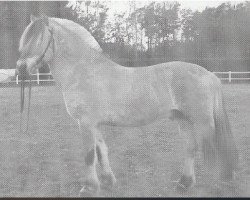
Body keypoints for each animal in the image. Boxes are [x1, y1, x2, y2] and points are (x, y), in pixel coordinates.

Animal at [15, 15, 238, 197]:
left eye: (38, 38)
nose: (21, 69)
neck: (83, 71)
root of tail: (209, 75)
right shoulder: (95, 124)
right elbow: (101, 152)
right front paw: (108, 182)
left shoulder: (85, 123)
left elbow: (89, 155)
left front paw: (89, 188)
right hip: (182, 120)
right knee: (190, 149)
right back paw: (183, 184)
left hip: (203, 122)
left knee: (215, 149)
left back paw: (219, 184)